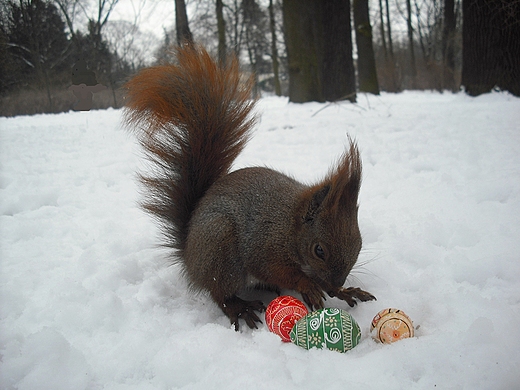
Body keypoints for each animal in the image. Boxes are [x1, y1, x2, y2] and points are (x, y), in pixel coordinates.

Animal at [124, 45, 376, 332]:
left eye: (359, 244)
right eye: (319, 250)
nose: (337, 282)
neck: (290, 226)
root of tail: (189, 257)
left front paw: (343, 291)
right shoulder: (264, 247)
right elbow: (279, 271)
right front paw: (309, 285)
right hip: (220, 247)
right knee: (219, 293)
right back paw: (239, 307)